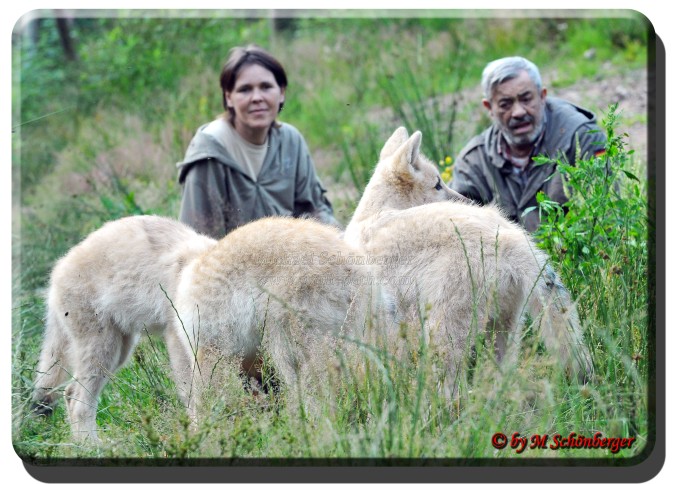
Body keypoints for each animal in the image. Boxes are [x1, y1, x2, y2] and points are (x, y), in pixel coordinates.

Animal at [33, 216, 216, 442]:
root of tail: (57, 270)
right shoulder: (178, 338)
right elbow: (193, 395)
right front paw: (199, 435)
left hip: (119, 353)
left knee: (69, 392)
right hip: (104, 351)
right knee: (76, 400)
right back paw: (94, 446)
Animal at [342, 127, 592, 398]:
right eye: (438, 184)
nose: (472, 201)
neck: (375, 211)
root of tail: (511, 241)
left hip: (446, 322)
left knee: (449, 380)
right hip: (503, 320)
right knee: (502, 368)